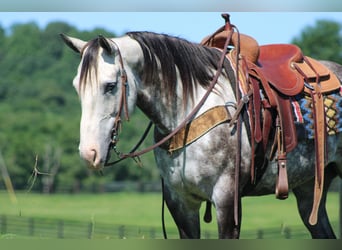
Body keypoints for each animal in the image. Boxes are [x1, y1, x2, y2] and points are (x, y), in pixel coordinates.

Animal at [60, 30, 342, 239]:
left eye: (110, 86)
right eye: (76, 86)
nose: (89, 154)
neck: (189, 110)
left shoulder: (227, 200)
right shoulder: (180, 203)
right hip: (309, 189)